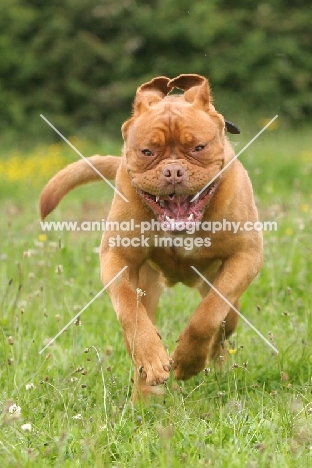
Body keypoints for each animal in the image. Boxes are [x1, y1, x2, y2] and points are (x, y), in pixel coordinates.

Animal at [40, 75, 262, 396]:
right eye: (147, 152)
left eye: (198, 147)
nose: (173, 171)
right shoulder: (117, 257)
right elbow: (129, 310)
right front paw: (152, 357)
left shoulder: (246, 256)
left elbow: (207, 314)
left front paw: (189, 360)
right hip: (148, 284)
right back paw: (146, 393)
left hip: (221, 289)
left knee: (224, 323)